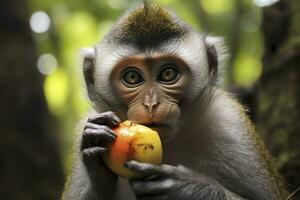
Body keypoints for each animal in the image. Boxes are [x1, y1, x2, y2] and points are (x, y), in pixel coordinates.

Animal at [61, 3, 288, 200]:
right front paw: (95, 158)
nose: (151, 104)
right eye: (132, 77)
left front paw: (192, 189)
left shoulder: (231, 125)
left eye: (168, 73)